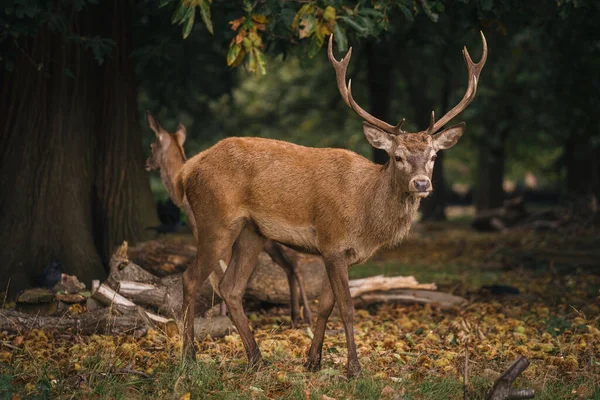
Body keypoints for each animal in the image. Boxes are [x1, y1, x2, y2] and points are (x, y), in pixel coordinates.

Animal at [178, 32, 488, 376]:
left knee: (231, 287)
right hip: (215, 220)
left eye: (433, 156)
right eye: (398, 156)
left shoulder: (338, 252)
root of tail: (188, 169)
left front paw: (313, 361)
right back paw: (189, 356)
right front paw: (354, 368)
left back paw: (257, 358)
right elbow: (348, 306)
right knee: (191, 278)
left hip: (251, 232)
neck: (366, 217)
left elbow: (326, 305)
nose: (421, 184)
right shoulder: (333, 241)